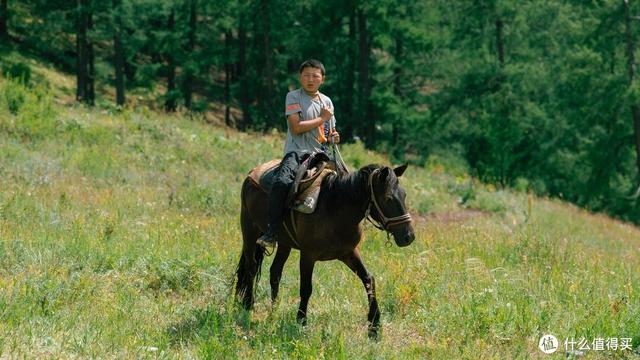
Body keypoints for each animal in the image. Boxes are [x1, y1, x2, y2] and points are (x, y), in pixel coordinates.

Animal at [235, 162, 416, 338]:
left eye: (404, 195)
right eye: (388, 199)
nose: (409, 237)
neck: (334, 210)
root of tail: (253, 172)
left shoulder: (349, 252)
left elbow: (368, 279)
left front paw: (374, 326)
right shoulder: (308, 255)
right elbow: (306, 288)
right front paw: (301, 322)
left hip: (285, 243)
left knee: (275, 272)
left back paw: (274, 309)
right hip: (249, 231)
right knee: (251, 268)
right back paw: (248, 304)